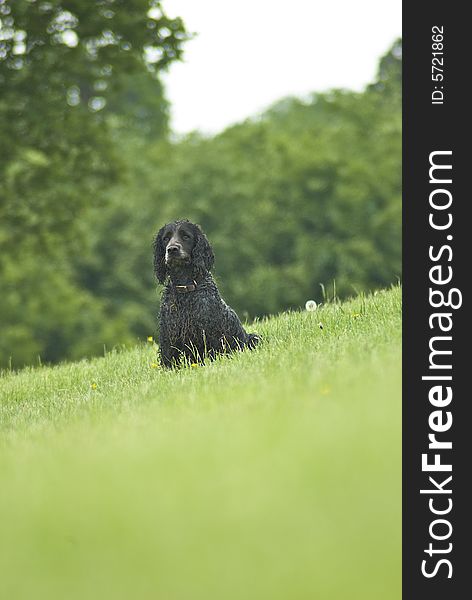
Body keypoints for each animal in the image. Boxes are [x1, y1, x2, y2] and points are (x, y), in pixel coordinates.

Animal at [153, 218, 260, 364]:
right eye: (166, 238)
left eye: (186, 236)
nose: (172, 249)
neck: (185, 289)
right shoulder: (168, 334)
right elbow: (168, 359)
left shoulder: (210, 333)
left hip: (252, 339)